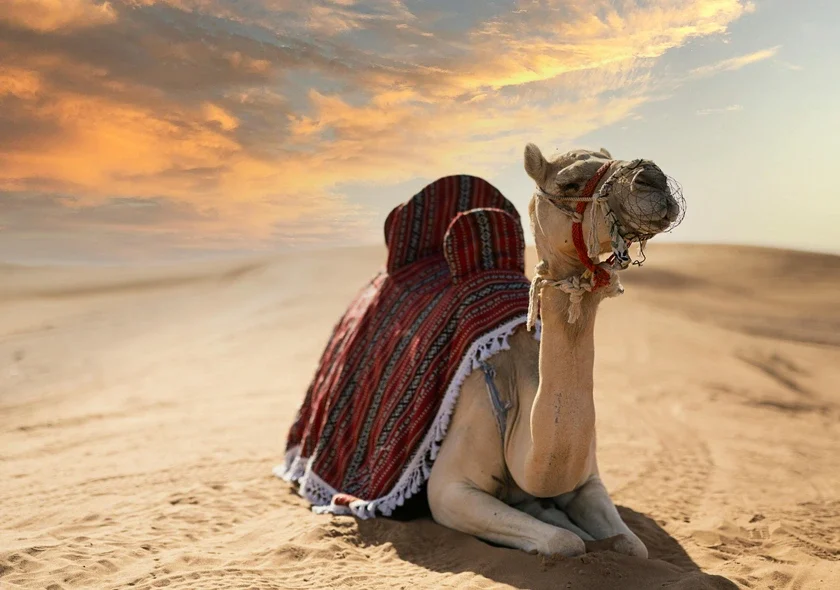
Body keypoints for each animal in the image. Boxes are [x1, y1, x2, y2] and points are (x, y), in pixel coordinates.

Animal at [426, 143, 683, 558]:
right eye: (569, 182)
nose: (653, 179)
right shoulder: (448, 489)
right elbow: (564, 543)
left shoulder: (589, 479)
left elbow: (633, 546)